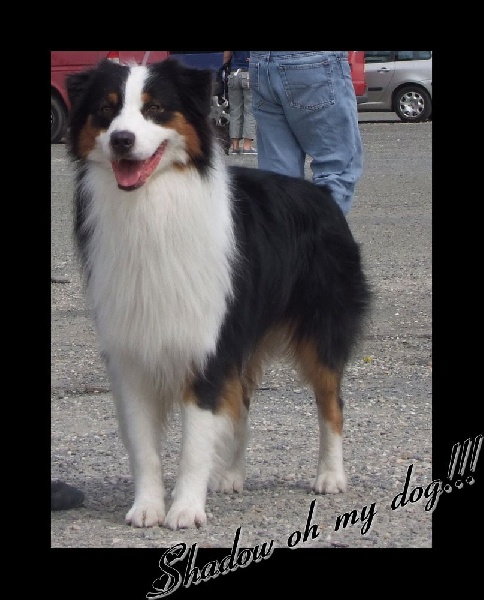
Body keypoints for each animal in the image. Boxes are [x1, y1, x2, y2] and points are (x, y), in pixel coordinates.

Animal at [65, 55, 370, 524]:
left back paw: (330, 476)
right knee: (241, 401)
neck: (151, 206)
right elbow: (143, 445)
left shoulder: (208, 343)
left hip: (320, 329)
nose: (121, 140)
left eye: (155, 109)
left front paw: (186, 510)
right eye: (106, 109)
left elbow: (195, 440)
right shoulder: (131, 349)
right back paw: (230, 475)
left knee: (331, 403)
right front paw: (147, 507)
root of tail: (320, 193)